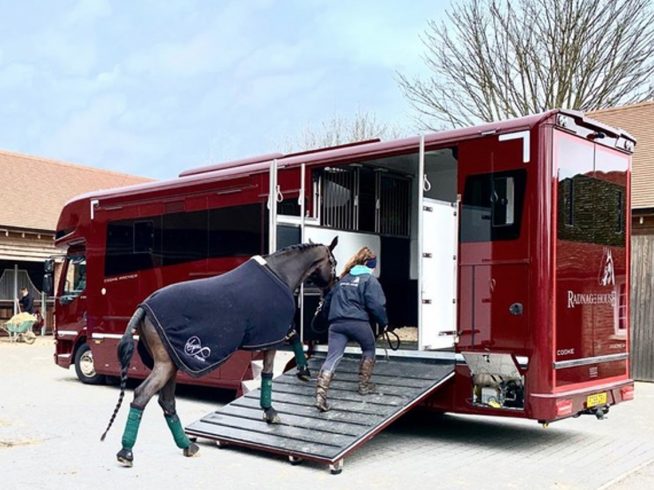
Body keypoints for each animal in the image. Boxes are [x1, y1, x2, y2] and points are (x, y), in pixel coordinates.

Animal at [102, 240, 340, 468]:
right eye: (333, 262)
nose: (332, 287)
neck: (279, 272)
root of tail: (143, 307)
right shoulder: (270, 337)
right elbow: (269, 372)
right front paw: (271, 411)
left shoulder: (275, 333)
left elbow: (293, 338)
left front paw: (303, 371)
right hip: (166, 366)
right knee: (142, 396)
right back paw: (126, 452)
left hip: (172, 365)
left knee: (167, 402)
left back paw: (187, 446)